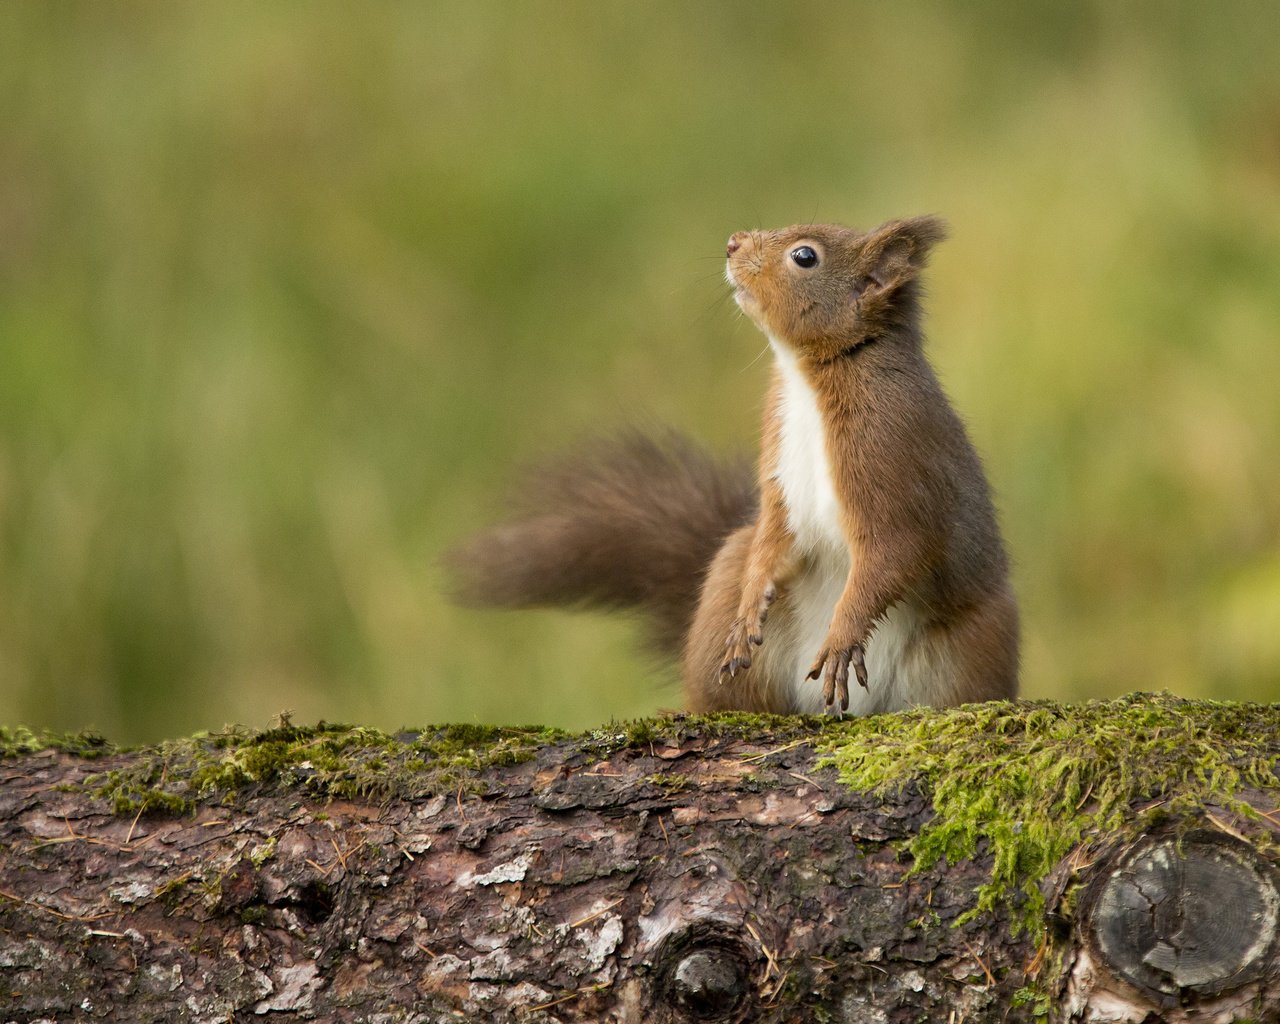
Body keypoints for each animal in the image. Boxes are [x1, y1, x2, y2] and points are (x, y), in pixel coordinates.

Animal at [450, 216, 1018, 711]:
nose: (732, 243)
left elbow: (895, 549)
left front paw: (842, 637)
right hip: (725, 584)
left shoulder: (894, 454)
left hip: (971, 648)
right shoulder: (779, 467)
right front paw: (750, 609)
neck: (811, 376)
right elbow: (773, 534)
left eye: (805, 256)